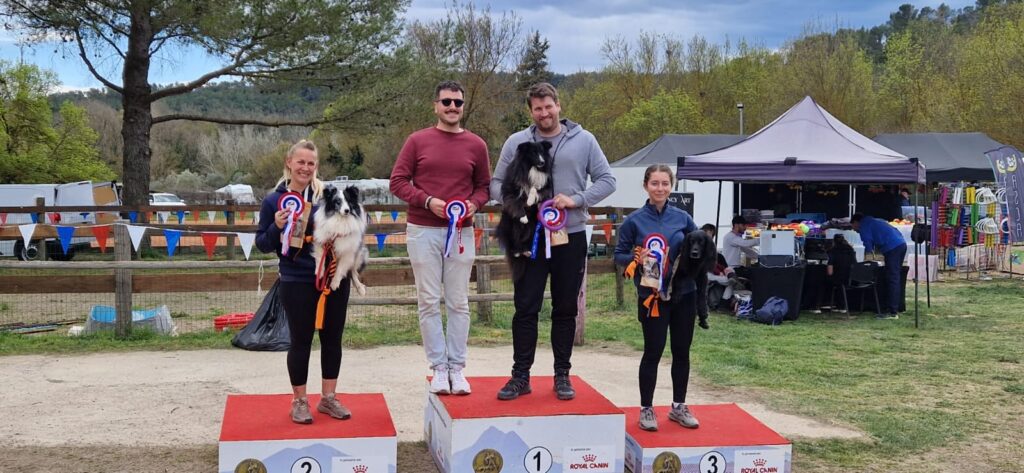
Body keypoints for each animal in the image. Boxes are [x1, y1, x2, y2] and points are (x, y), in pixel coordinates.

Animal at [495, 141, 554, 277]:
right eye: (533, 152)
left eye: (542, 152)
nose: (542, 162)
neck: (531, 168)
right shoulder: (512, 189)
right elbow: (516, 202)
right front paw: (523, 217)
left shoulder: (545, 185)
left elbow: (535, 188)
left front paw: (530, 200)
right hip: (509, 226)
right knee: (513, 241)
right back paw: (517, 251)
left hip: (532, 229)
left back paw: (526, 251)